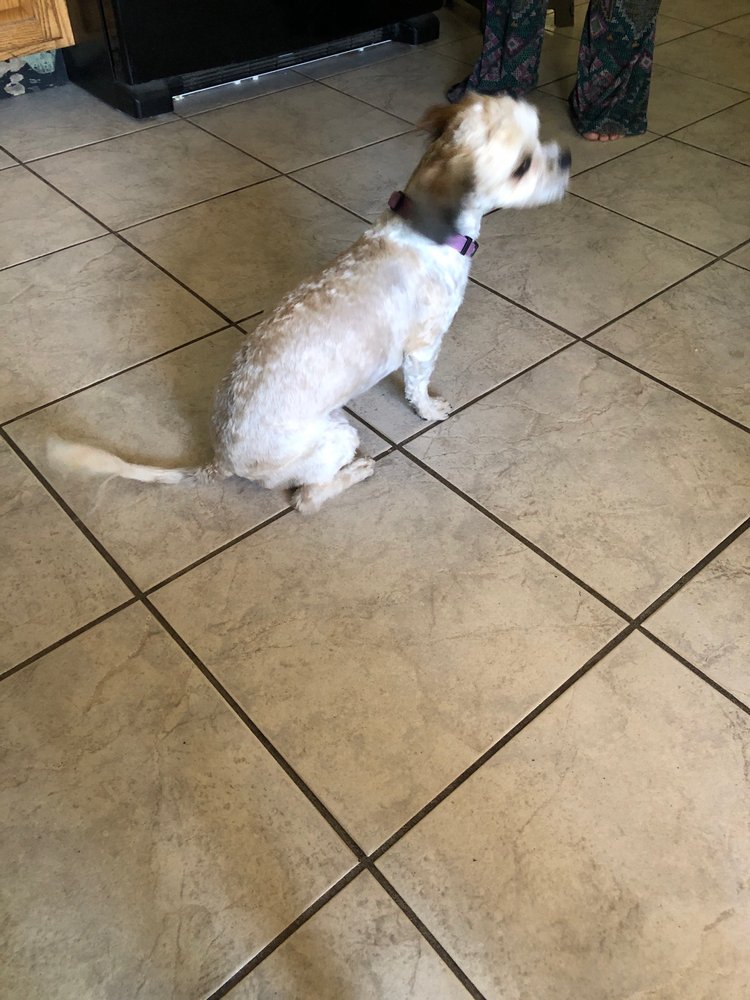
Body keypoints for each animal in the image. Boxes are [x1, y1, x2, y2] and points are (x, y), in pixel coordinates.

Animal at [49, 93, 570, 513]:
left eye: (539, 133)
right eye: (523, 165)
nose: (566, 156)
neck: (427, 228)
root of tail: (222, 459)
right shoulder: (424, 344)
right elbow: (418, 387)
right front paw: (429, 409)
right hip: (335, 436)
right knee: (306, 499)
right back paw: (355, 472)